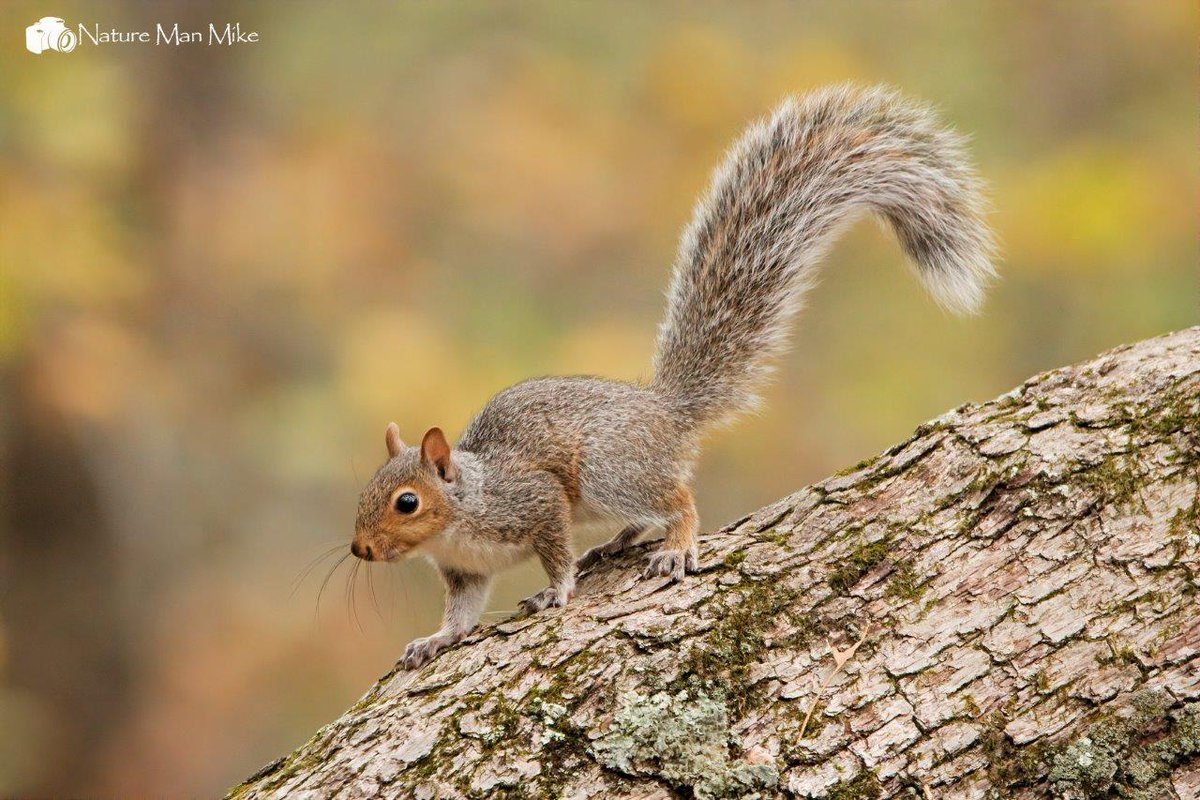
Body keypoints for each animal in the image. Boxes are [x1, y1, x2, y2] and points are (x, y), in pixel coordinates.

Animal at [350, 86, 998, 671]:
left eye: (407, 502)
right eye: (366, 492)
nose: (359, 548)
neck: (462, 511)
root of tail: (667, 410)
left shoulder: (533, 502)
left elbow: (555, 552)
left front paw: (556, 590)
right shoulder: (466, 572)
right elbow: (462, 614)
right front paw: (435, 639)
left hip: (609, 470)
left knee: (678, 496)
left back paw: (677, 543)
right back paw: (620, 540)